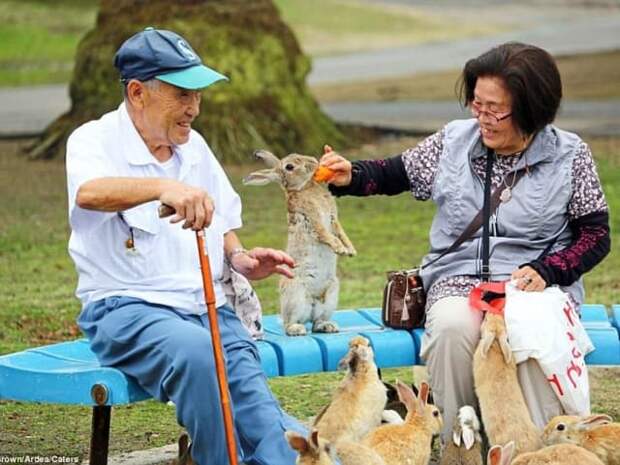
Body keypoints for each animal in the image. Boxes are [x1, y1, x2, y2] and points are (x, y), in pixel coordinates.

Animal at [243, 149, 356, 334]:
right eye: (289, 167)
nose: (314, 162)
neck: (304, 187)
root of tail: (313, 302)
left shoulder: (333, 218)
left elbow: (341, 232)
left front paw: (351, 250)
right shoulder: (312, 219)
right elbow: (326, 235)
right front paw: (340, 249)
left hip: (331, 293)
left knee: (317, 323)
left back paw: (328, 325)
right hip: (296, 294)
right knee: (291, 323)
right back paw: (297, 329)